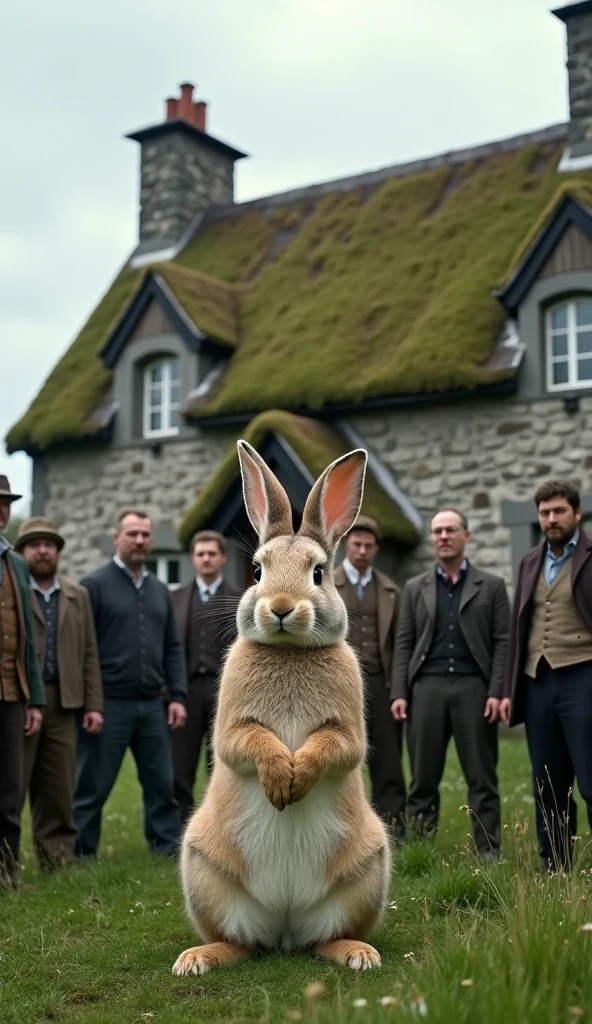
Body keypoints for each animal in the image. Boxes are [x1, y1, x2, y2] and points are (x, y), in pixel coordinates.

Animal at [172, 440, 390, 977]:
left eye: (319, 573)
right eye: (256, 571)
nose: (282, 607)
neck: (290, 651)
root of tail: (286, 926)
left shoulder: (347, 731)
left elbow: (335, 748)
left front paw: (297, 777)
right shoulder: (233, 728)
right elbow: (247, 743)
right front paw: (279, 781)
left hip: (368, 870)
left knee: (325, 937)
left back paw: (358, 954)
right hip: (204, 872)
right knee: (240, 941)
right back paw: (197, 959)